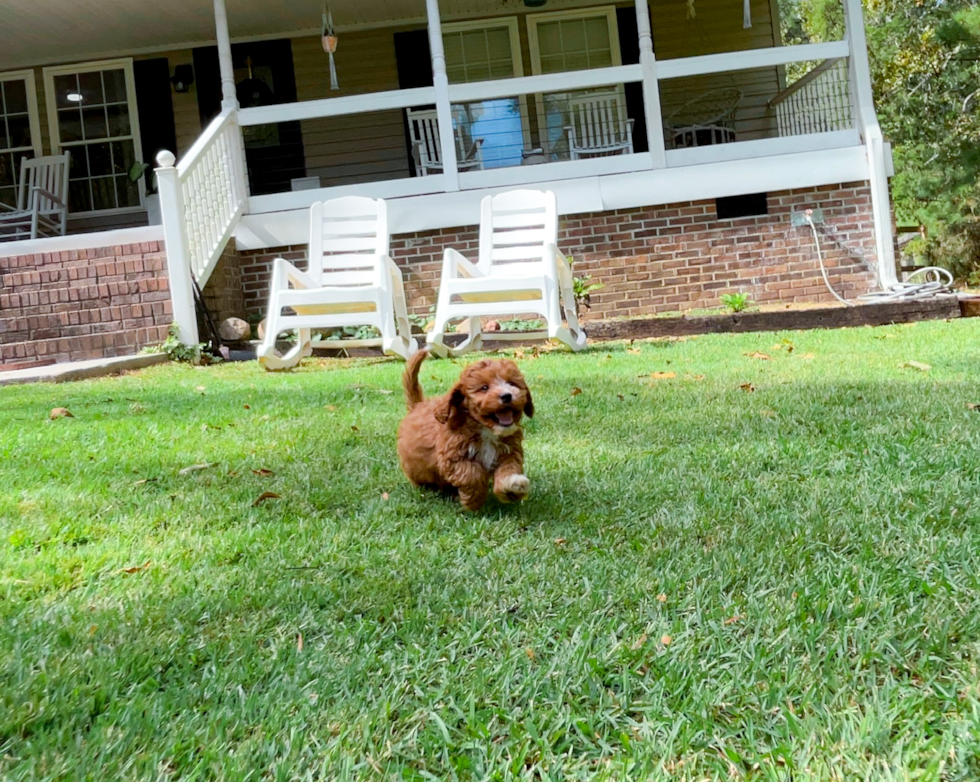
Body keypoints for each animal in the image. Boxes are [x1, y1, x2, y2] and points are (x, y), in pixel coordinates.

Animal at [396, 350, 536, 516]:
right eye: (484, 387)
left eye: (512, 383)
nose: (507, 395)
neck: (485, 429)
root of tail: (417, 404)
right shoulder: (452, 457)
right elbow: (472, 474)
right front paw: (473, 502)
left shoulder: (509, 452)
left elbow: (508, 469)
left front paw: (513, 486)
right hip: (416, 468)